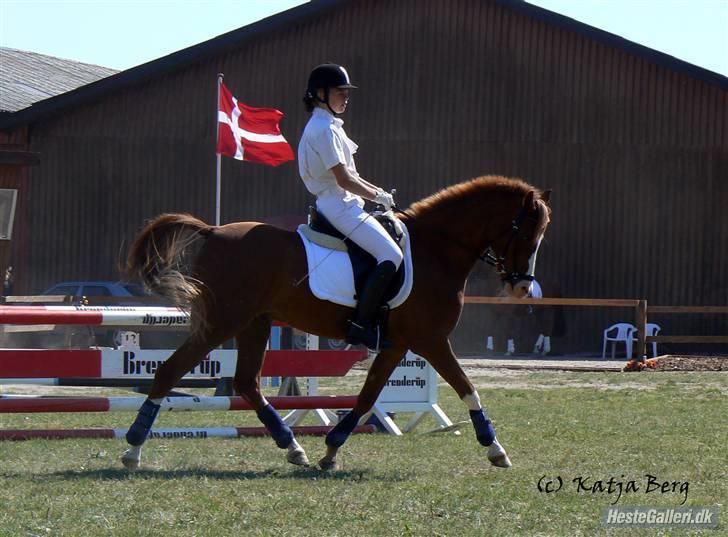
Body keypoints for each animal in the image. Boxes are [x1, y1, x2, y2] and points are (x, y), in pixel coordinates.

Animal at [121, 175, 552, 468]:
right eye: (529, 233)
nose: (522, 287)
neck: (438, 249)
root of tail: (212, 231)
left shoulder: (397, 344)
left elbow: (367, 396)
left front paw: (331, 447)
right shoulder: (430, 339)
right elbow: (467, 387)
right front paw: (495, 448)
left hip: (254, 322)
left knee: (247, 383)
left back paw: (293, 446)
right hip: (223, 321)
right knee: (170, 371)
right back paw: (133, 448)